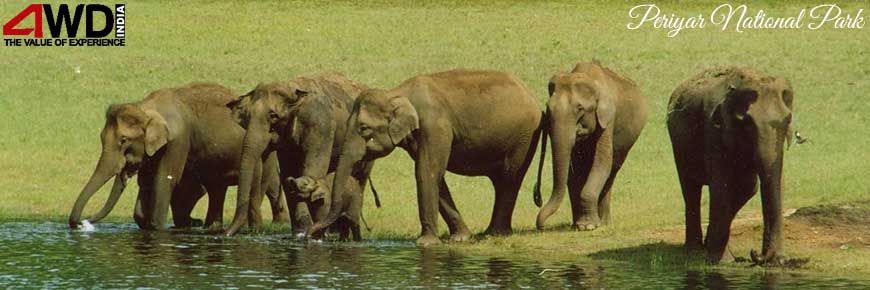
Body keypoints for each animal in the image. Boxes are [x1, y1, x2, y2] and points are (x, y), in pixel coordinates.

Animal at [67, 82, 290, 231]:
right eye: (101, 138)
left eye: (123, 140)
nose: (82, 223)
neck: (147, 107)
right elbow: (147, 183)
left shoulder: (177, 141)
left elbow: (165, 180)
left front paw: (157, 228)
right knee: (216, 188)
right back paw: (209, 228)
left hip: (265, 154)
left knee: (261, 186)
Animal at [223, 71, 372, 239]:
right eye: (247, 117)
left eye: (273, 116)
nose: (224, 234)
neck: (290, 86)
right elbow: (288, 172)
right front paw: (299, 234)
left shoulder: (320, 126)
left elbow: (313, 168)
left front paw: (306, 234)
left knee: (359, 178)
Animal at [304, 69, 540, 246]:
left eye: (363, 128)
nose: (309, 236)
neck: (397, 92)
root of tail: (530, 93)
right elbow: (436, 176)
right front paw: (460, 238)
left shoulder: (435, 126)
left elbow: (426, 172)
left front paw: (425, 243)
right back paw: (490, 233)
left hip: (524, 137)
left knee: (509, 178)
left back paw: (495, 233)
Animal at [532, 61, 648, 231]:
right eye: (548, 108)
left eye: (580, 108)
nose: (538, 199)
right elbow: (573, 172)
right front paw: (579, 225)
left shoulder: (608, 119)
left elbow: (601, 163)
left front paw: (588, 226)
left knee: (611, 172)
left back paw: (604, 222)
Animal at [668, 65, 796, 266]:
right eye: (747, 123)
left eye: (788, 119)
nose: (756, 254)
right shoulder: (714, 129)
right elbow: (722, 186)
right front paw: (721, 261)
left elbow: (761, 183)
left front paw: (780, 261)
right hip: (679, 145)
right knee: (690, 188)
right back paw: (694, 250)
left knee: (747, 187)